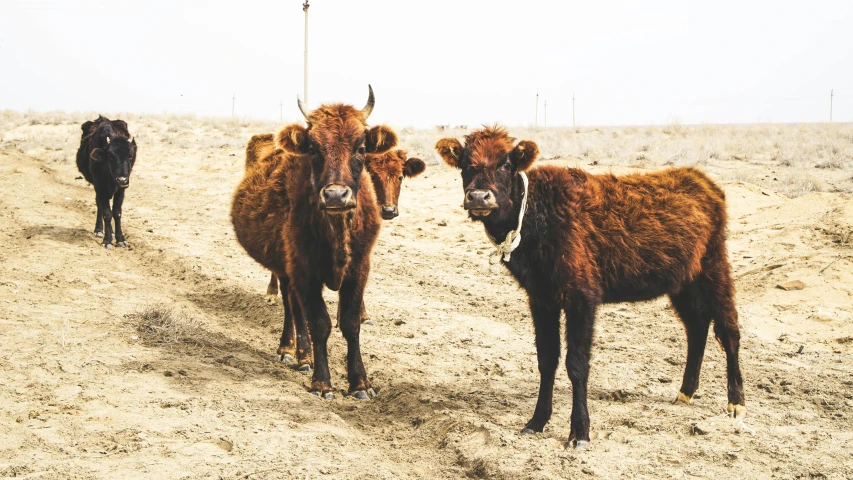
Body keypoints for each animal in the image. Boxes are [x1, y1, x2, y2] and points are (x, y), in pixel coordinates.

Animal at [75, 116, 137, 248]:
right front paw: (107, 240)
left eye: (130, 156)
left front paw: (120, 239)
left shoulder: (121, 190)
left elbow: (117, 213)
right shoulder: (100, 187)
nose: (122, 180)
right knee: (100, 206)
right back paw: (99, 230)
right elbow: (107, 213)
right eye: (111, 157)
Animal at [230, 84, 396, 400]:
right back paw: (294, 352)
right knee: (291, 307)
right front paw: (322, 382)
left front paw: (360, 383)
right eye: (312, 148)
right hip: (285, 270)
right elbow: (319, 323)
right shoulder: (304, 271)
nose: (335, 195)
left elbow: (351, 324)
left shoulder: (359, 270)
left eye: (361, 147)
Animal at [436, 125, 744, 448]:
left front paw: (579, 432)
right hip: (683, 283)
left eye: (506, 164)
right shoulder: (541, 298)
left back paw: (736, 401)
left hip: (715, 269)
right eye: (465, 164)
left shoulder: (581, 298)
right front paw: (536, 422)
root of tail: (703, 181)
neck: (538, 213)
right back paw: (685, 392)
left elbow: (577, 364)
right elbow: (547, 359)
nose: (478, 197)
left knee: (728, 329)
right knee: (697, 327)